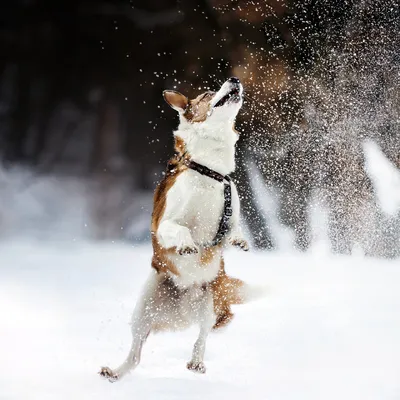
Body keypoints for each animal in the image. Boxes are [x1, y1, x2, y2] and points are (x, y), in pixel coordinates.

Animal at [99, 77, 250, 382]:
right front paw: (187, 245)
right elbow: (180, 229)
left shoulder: (230, 213)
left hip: (209, 301)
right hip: (144, 306)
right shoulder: (163, 224)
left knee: (202, 336)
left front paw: (239, 240)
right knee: (135, 354)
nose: (235, 79)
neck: (210, 172)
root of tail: (182, 310)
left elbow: (234, 228)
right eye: (207, 93)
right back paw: (115, 372)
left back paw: (196, 361)